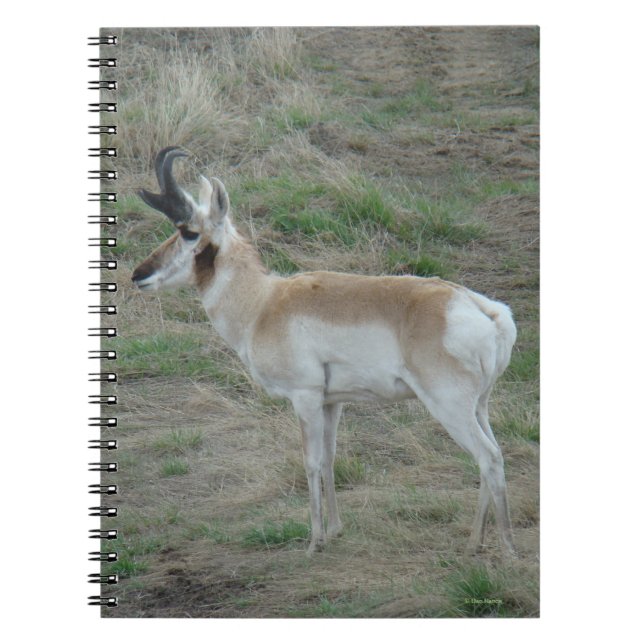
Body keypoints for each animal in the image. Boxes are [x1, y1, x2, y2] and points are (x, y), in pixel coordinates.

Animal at [132, 146, 518, 558]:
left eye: (189, 232)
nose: (139, 275)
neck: (264, 303)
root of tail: (480, 308)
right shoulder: (333, 402)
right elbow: (332, 459)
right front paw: (334, 529)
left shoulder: (305, 397)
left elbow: (312, 462)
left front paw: (313, 541)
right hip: (479, 406)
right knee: (492, 455)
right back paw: (475, 541)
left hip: (449, 406)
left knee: (488, 457)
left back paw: (507, 548)